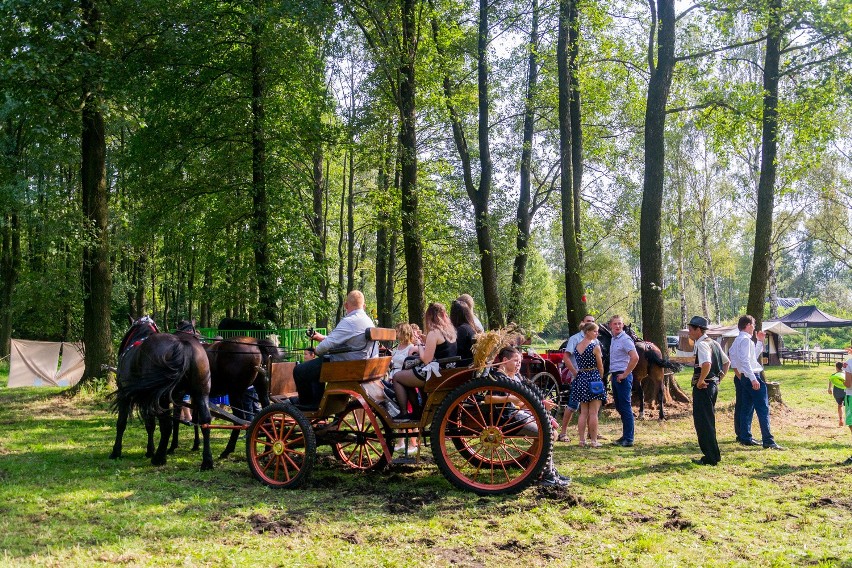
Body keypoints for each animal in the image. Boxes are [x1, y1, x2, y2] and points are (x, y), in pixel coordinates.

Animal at [108, 316, 215, 470]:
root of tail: (182, 345)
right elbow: (154, 424)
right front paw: (151, 450)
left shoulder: (125, 395)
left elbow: (123, 423)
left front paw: (116, 451)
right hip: (201, 393)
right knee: (205, 421)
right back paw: (207, 461)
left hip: (161, 398)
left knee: (166, 425)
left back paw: (159, 458)